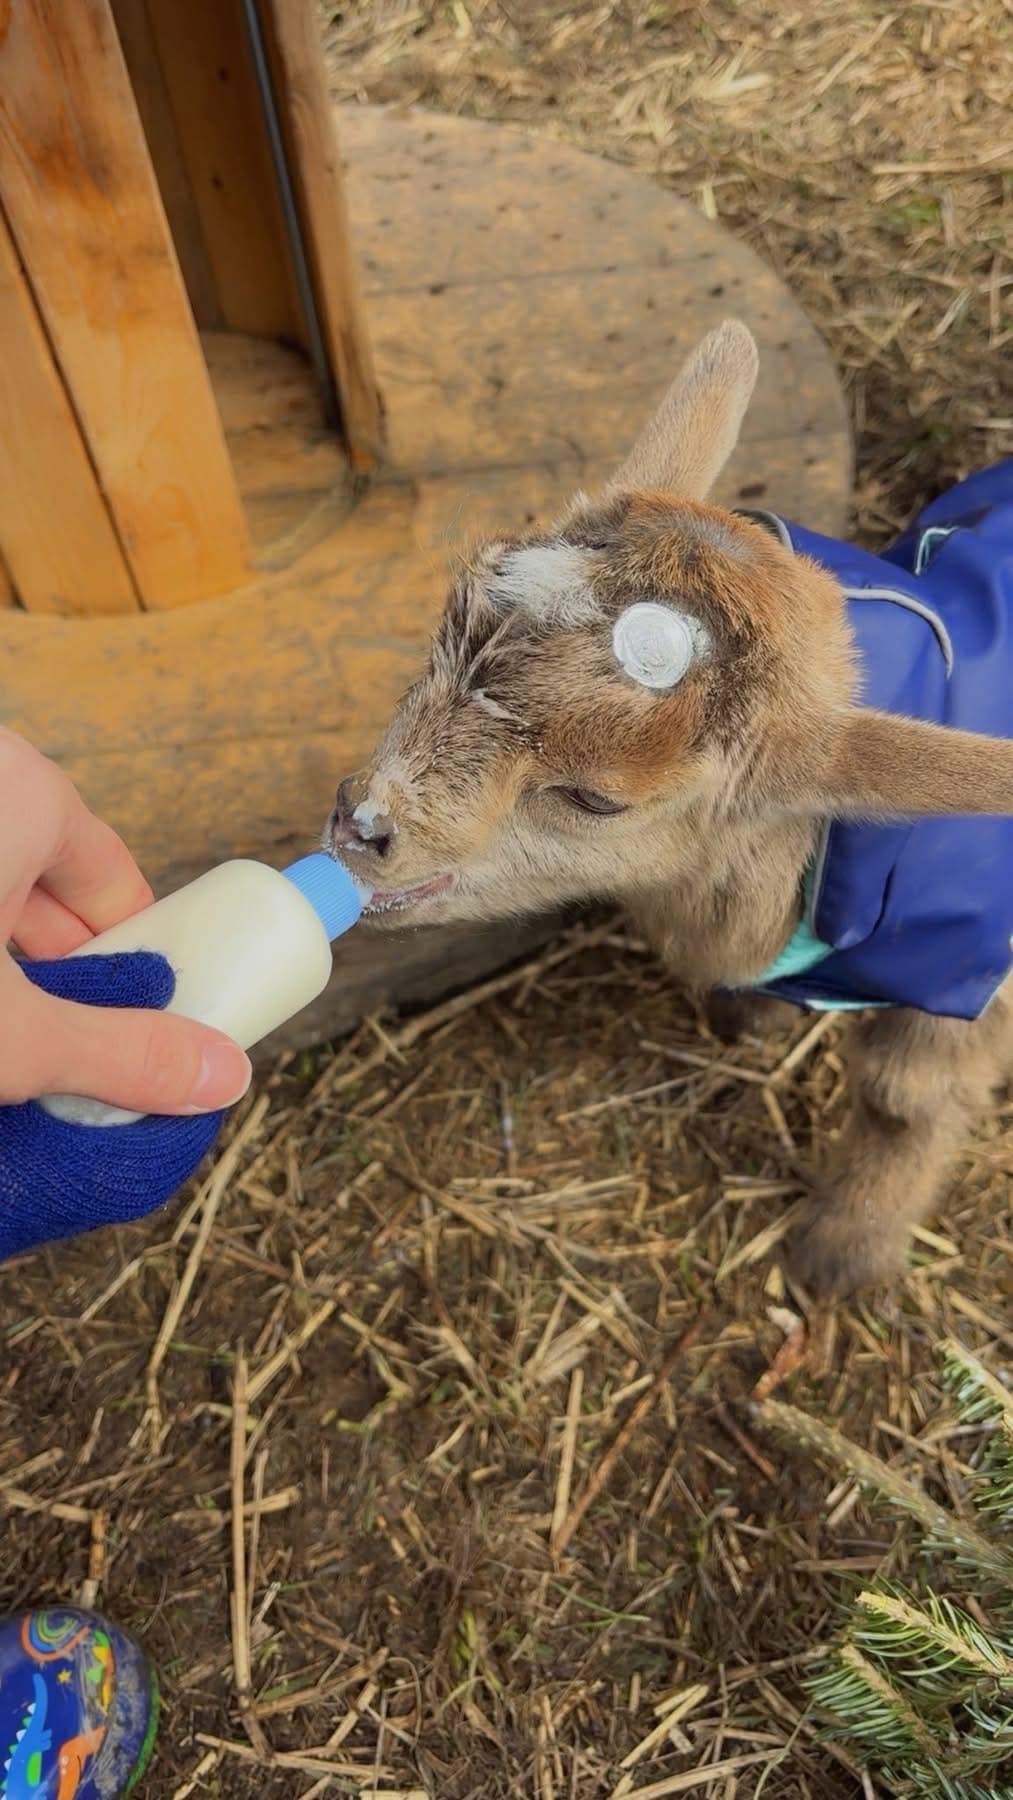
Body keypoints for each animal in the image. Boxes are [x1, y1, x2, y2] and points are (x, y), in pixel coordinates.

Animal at [326, 321, 1013, 1297]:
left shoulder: (966, 975)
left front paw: (843, 1253)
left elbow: (904, 1099)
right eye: (439, 640)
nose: (360, 824)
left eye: (595, 798)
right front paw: (751, 1020)